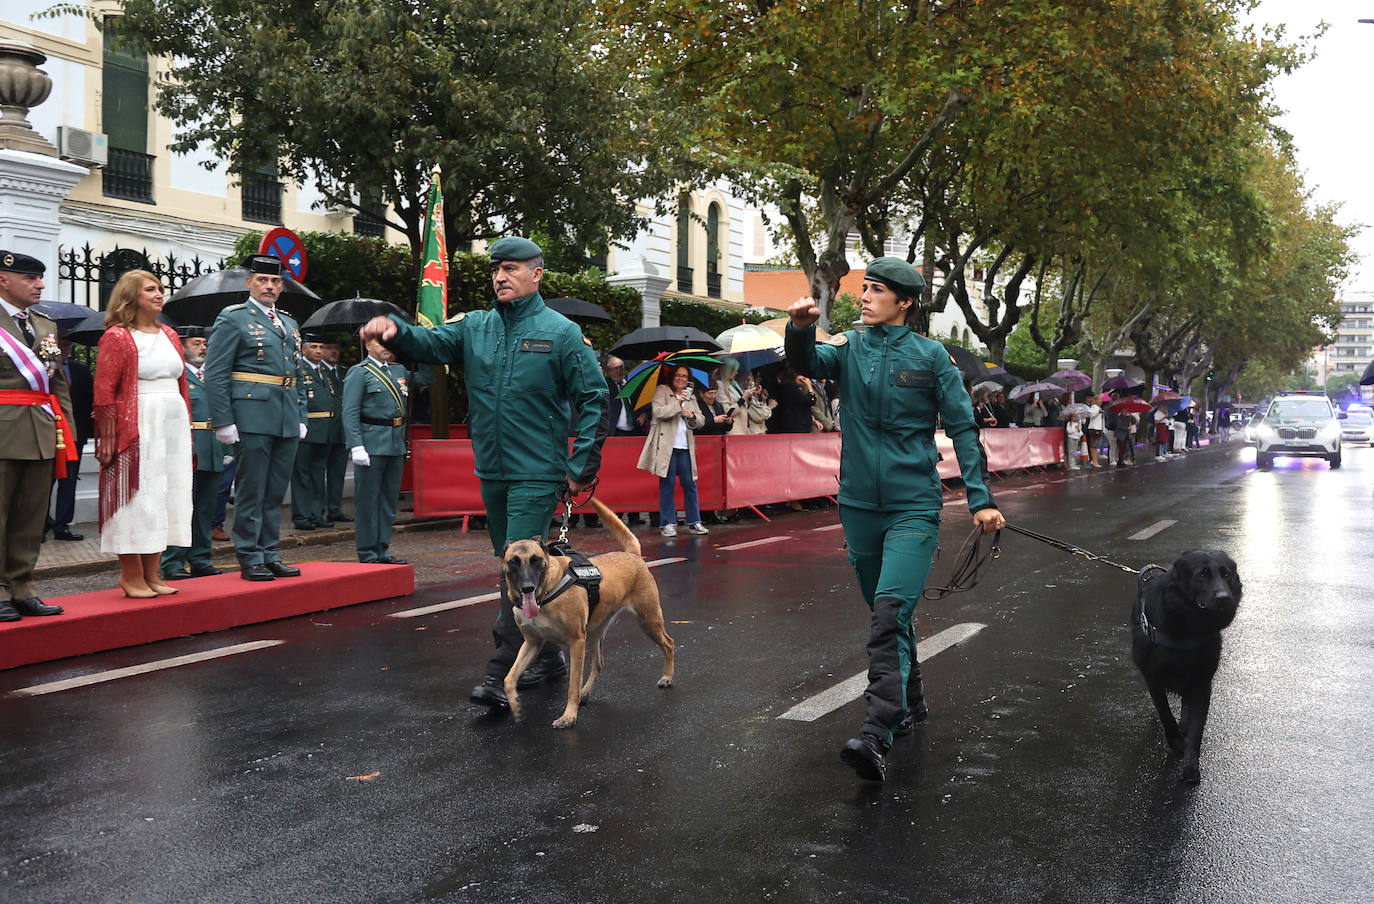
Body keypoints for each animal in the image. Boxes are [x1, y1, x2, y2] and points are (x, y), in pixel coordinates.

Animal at [505, 491, 676, 725]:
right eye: (513, 561)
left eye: (536, 560)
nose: (527, 587)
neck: (546, 592)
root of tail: (632, 555)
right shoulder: (532, 643)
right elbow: (508, 678)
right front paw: (515, 706)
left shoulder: (576, 642)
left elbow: (572, 685)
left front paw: (569, 716)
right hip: (596, 633)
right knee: (599, 663)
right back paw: (585, 693)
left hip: (648, 621)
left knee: (669, 643)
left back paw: (667, 676)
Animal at [1132, 549, 1242, 780]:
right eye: (1202, 574)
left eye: (1227, 575)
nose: (1224, 598)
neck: (1189, 628)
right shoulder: (1153, 679)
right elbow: (1166, 715)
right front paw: (1177, 743)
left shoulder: (1202, 682)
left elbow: (1197, 727)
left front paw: (1191, 765)